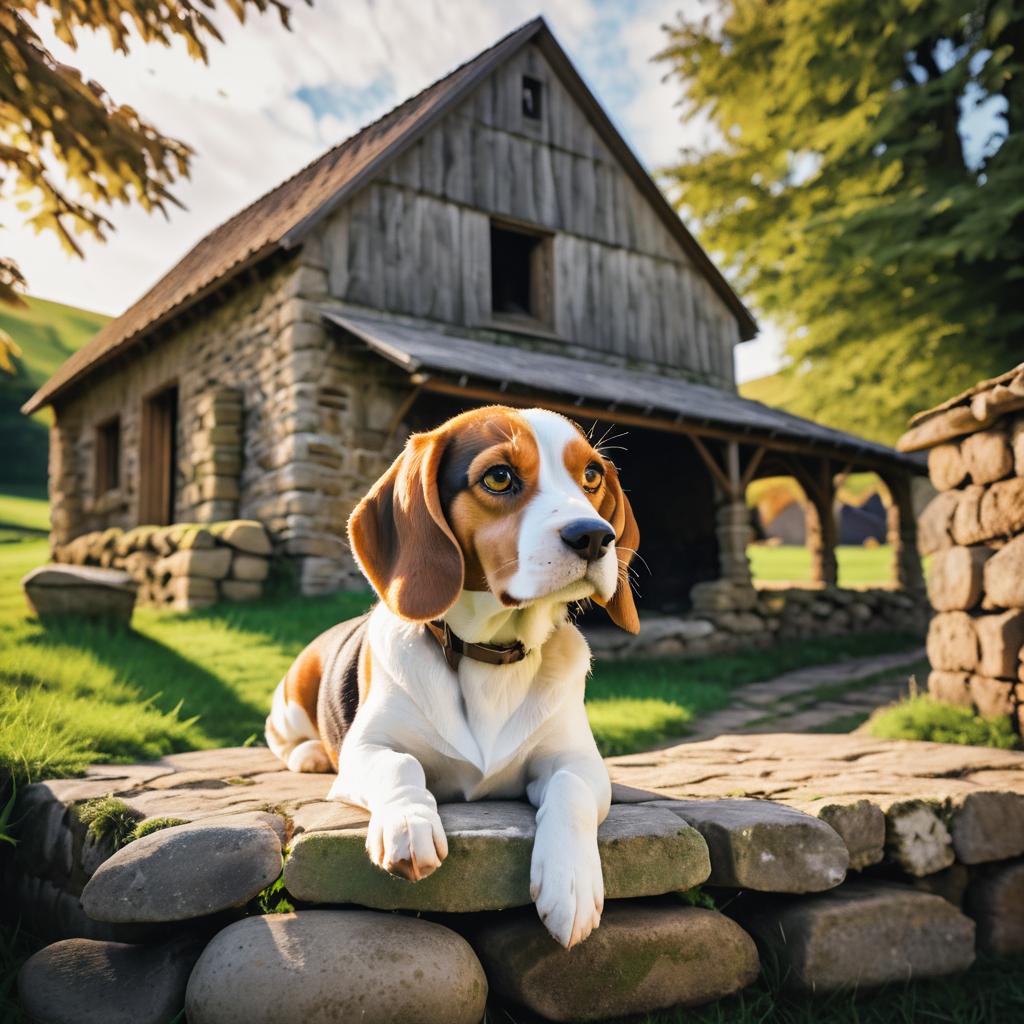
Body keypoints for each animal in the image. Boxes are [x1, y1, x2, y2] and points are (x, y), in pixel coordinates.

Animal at [264, 403, 634, 946]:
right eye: (499, 476)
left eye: (591, 475)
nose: (595, 536)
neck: (488, 652)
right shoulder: (366, 751)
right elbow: (401, 765)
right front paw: (408, 826)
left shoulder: (578, 761)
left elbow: (572, 790)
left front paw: (571, 882)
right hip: (290, 700)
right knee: (284, 740)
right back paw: (309, 754)